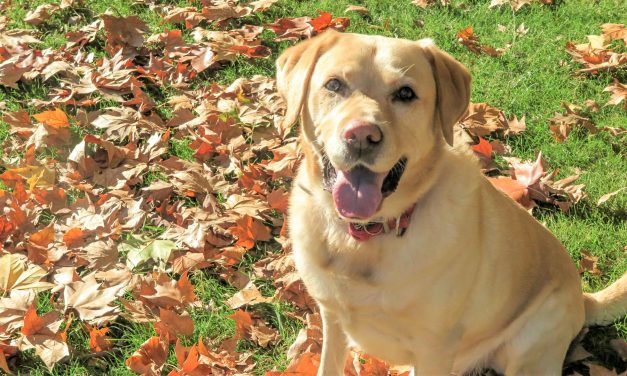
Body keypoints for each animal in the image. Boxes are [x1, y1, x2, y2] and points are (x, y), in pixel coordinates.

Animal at [280, 30, 627, 376]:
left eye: (405, 93)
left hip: (528, 349)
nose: (362, 136)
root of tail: (582, 298)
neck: (365, 235)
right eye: (334, 85)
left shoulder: (434, 347)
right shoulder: (332, 317)